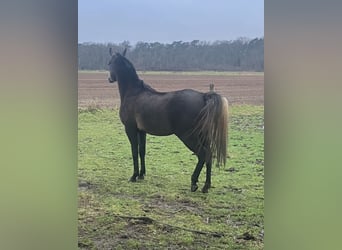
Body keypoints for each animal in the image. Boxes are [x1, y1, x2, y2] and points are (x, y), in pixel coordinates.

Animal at [108, 48, 228, 193]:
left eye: (110, 62)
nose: (110, 78)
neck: (134, 93)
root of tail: (203, 96)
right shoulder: (142, 131)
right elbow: (142, 151)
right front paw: (141, 175)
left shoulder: (130, 129)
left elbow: (134, 151)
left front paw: (134, 176)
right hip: (202, 135)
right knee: (209, 154)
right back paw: (206, 186)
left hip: (189, 136)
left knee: (202, 154)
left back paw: (194, 183)